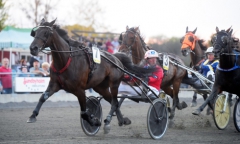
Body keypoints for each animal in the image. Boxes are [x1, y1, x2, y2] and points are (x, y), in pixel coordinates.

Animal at [27, 18, 157, 134]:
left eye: (46, 32)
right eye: (35, 32)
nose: (33, 48)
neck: (66, 59)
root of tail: (115, 58)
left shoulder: (79, 90)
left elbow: (84, 113)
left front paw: (94, 121)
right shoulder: (55, 84)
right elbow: (43, 97)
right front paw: (32, 115)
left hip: (114, 84)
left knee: (115, 101)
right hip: (100, 86)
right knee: (112, 101)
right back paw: (121, 120)